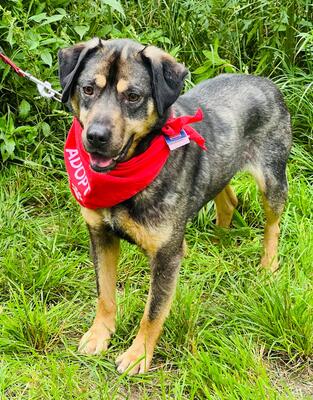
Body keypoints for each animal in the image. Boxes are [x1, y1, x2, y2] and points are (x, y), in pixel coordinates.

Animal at [57, 37, 292, 376]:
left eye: (133, 96)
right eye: (88, 89)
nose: (96, 136)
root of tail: (264, 81)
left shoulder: (166, 256)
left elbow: (153, 311)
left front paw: (137, 355)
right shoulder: (100, 236)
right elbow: (105, 294)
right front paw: (99, 335)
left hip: (272, 179)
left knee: (272, 223)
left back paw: (268, 265)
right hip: (219, 167)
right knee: (228, 199)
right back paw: (218, 241)